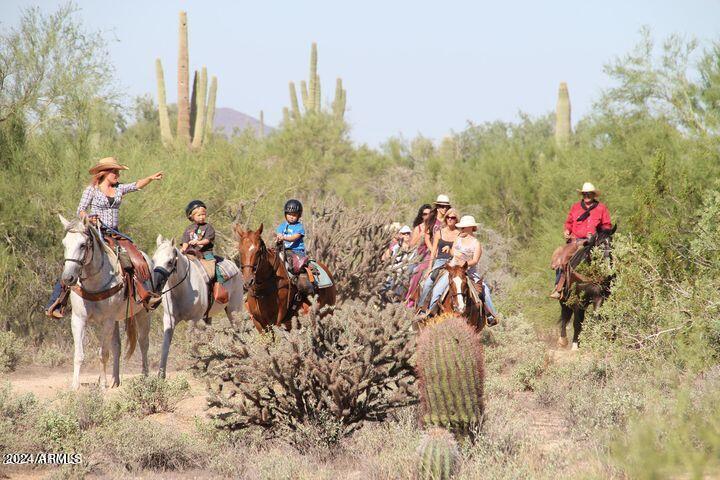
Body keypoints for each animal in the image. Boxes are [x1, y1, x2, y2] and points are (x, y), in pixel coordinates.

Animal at [59, 215, 153, 390]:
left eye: (83, 245)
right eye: (64, 244)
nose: (68, 278)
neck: (94, 284)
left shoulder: (107, 321)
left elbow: (103, 353)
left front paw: (102, 383)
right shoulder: (78, 319)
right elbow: (79, 354)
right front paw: (75, 385)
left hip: (143, 313)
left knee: (143, 343)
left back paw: (145, 377)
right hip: (116, 320)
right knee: (117, 346)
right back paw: (115, 380)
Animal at [152, 234, 245, 376]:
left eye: (170, 261)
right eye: (153, 260)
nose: (156, 285)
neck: (182, 289)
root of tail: (234, 266)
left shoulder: (194, 319)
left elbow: (191, 339)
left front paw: (196, 360)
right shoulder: (169, 319)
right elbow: (165, 345)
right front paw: (161, 374)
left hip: (233, 310)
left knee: (237, 329)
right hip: (209, 316)